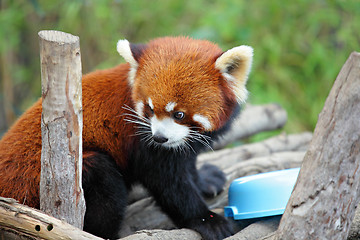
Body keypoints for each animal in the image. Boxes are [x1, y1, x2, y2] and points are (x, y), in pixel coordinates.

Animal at [0, 36, 253, 239]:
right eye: (149, 109)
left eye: (178, 114)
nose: (160, 138)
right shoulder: (143, 143)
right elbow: (169, 185)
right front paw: (207, 220)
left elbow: (187, 165)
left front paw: (204, 180)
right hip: (47, 178)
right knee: (107, 187)